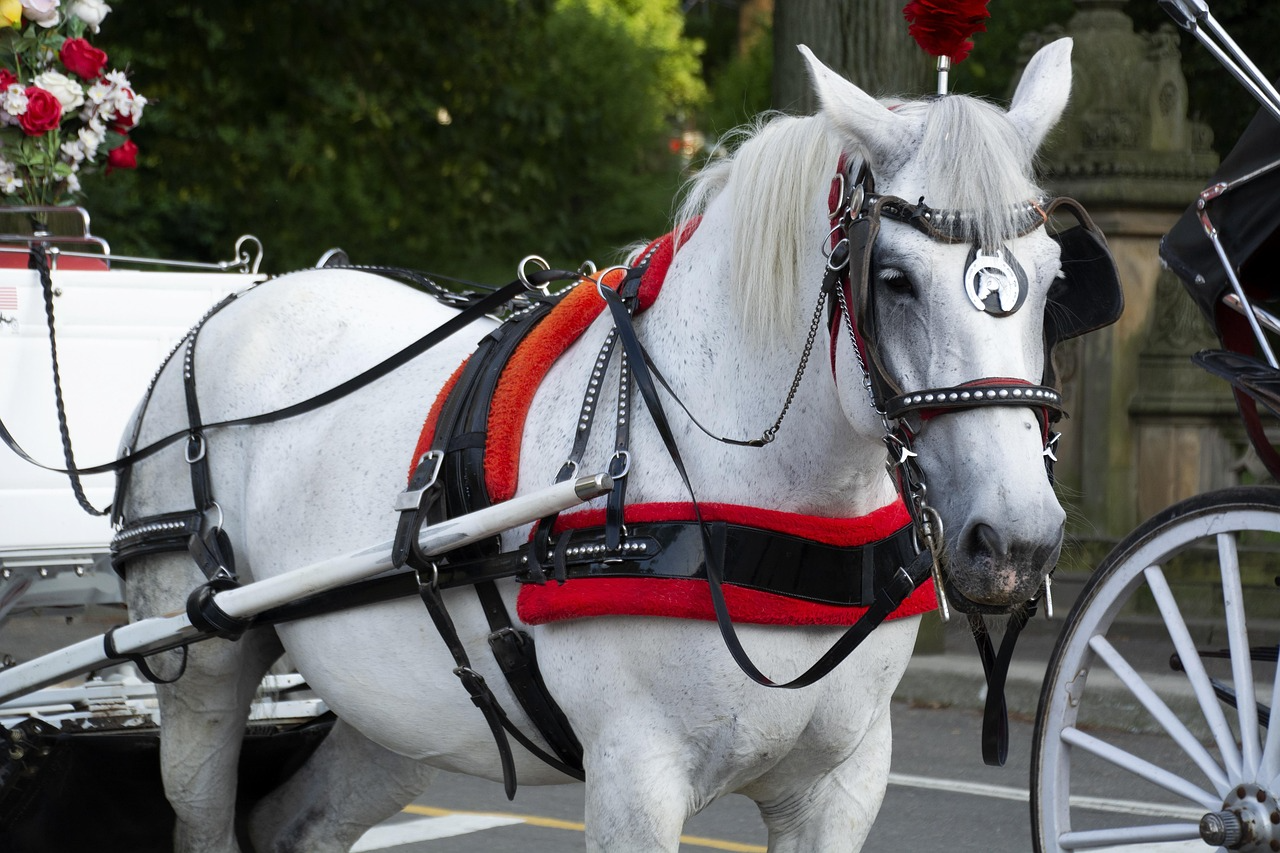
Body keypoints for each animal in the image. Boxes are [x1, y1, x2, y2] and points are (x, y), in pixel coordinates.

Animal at [115, 38, 1081, 852]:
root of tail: (232, 304)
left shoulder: (841, 786)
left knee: (291, 825)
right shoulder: (635, 777)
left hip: (397, 712)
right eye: (894, 278)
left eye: (1053, 280)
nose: (1015, 539)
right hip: (203, 675)